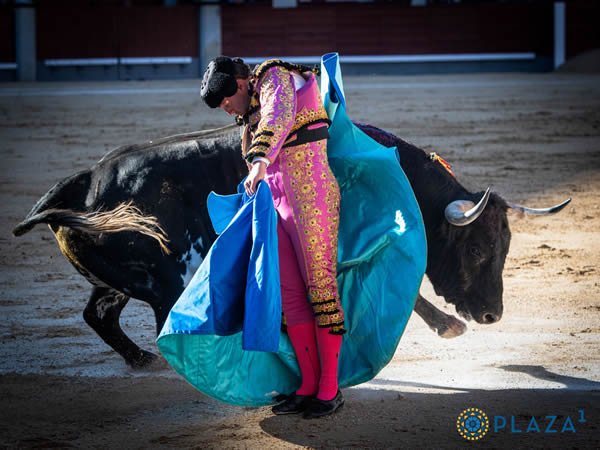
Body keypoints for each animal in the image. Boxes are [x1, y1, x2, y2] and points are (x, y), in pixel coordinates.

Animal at [13, 124, 570, 368]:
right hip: (167, 277)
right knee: (165, 320)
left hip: (119, 278)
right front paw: (448, 326)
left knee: (99, 314)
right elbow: (407, 293)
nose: (493, 315)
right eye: (477, 250)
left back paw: (141, 360)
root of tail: (86, 180)